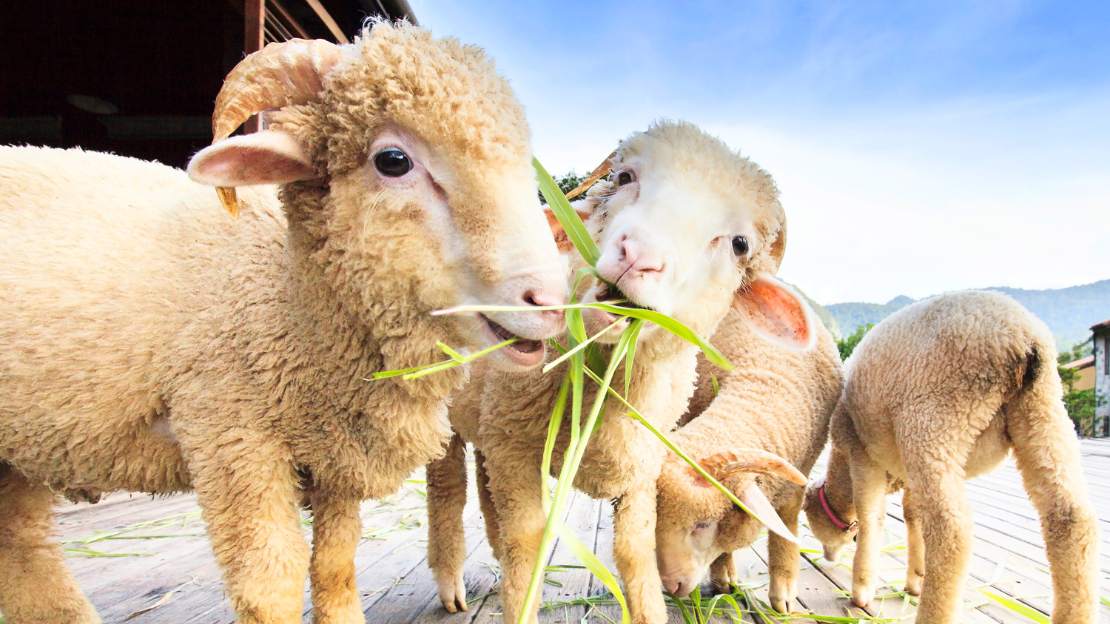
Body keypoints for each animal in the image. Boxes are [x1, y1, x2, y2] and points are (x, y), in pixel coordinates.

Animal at [0, 22, 568, 624]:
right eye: (392, 160)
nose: (550, 300)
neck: (287, 300)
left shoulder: (335, 450)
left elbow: (336, 567)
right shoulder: (230, 437)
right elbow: (270, 583)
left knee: (23, 549)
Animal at [425, 121, 814, 624]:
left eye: (739, 244)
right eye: (625, 177)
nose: (638, 255)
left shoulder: (640, 465)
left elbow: (634, 551)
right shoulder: (517, 453)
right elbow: (527, 545)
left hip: (488, 421)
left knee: (484, 483)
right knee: (447, 492)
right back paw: (452, 586)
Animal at [653, 287, 843, 613]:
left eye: (703, 524)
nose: (671, 585)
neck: (763, 380)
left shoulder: (795, 480)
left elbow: (785, 534)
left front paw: (783, 595)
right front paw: (723, 578)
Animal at [802, 291, 1100, 624]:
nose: (827, 557)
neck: (841, 470)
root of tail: (1020, 337)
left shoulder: (862, 454)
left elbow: (871, 518)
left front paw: (862, 589)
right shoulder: (906, 472)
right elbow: (912, 515)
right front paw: (915, 579)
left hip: (933, 422)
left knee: (951, 531)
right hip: (1042, 412)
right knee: (1071, 517)